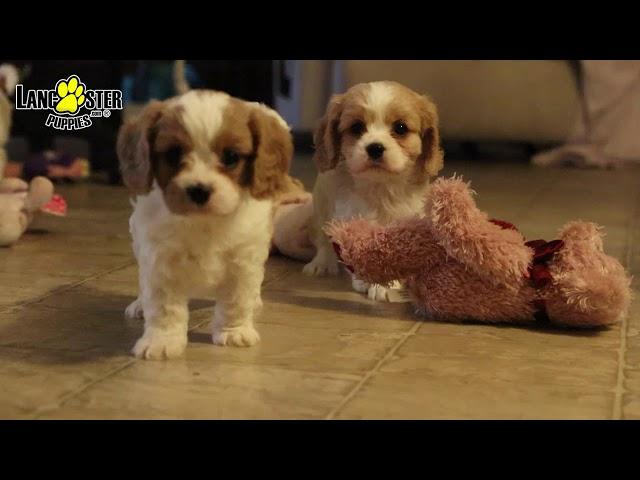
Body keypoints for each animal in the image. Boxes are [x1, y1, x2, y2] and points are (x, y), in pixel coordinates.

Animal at [117, 90, 292, 360]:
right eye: (173, 154)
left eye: (231, 157)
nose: (199, 190)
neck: (204, 221)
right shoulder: (160, 259)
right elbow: (163, 306)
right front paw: (161, 341)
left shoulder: (243, 258)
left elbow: (236, 299)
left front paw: (234, 331)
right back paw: (139, 304)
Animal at [302, 81, 442, 302]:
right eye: (356, 127)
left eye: (400, 128)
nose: (375, 148)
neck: (379, 186)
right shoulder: (348, 217)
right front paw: (368, 280)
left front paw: (387, 283)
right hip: (321, 210)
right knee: (323, 240)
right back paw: (321, 263)